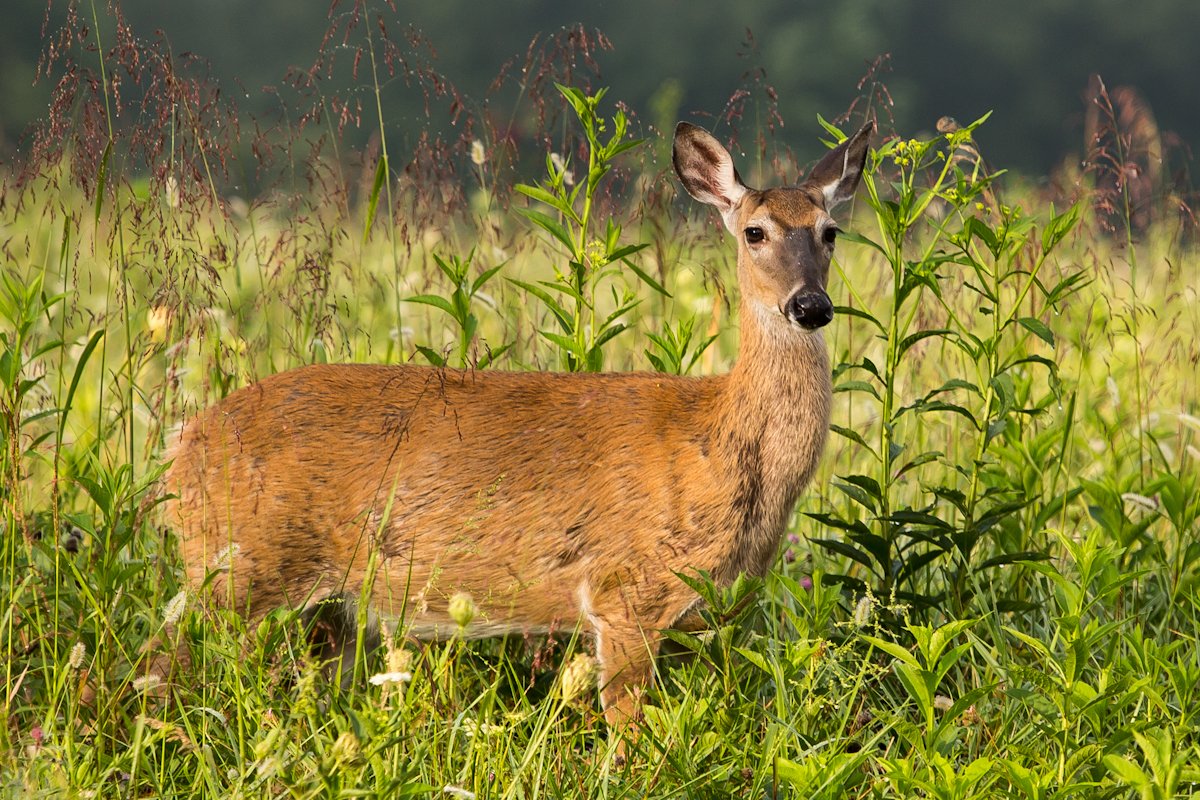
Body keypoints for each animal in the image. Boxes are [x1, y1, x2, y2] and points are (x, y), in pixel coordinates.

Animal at [162, 118, 873, 735]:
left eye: (831, 231)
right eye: (754, 232)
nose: (810, 305)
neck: (718, 442)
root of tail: (184, 443)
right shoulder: (624, 591)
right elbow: (630, 737)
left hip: (325, 609)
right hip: (236, 567)